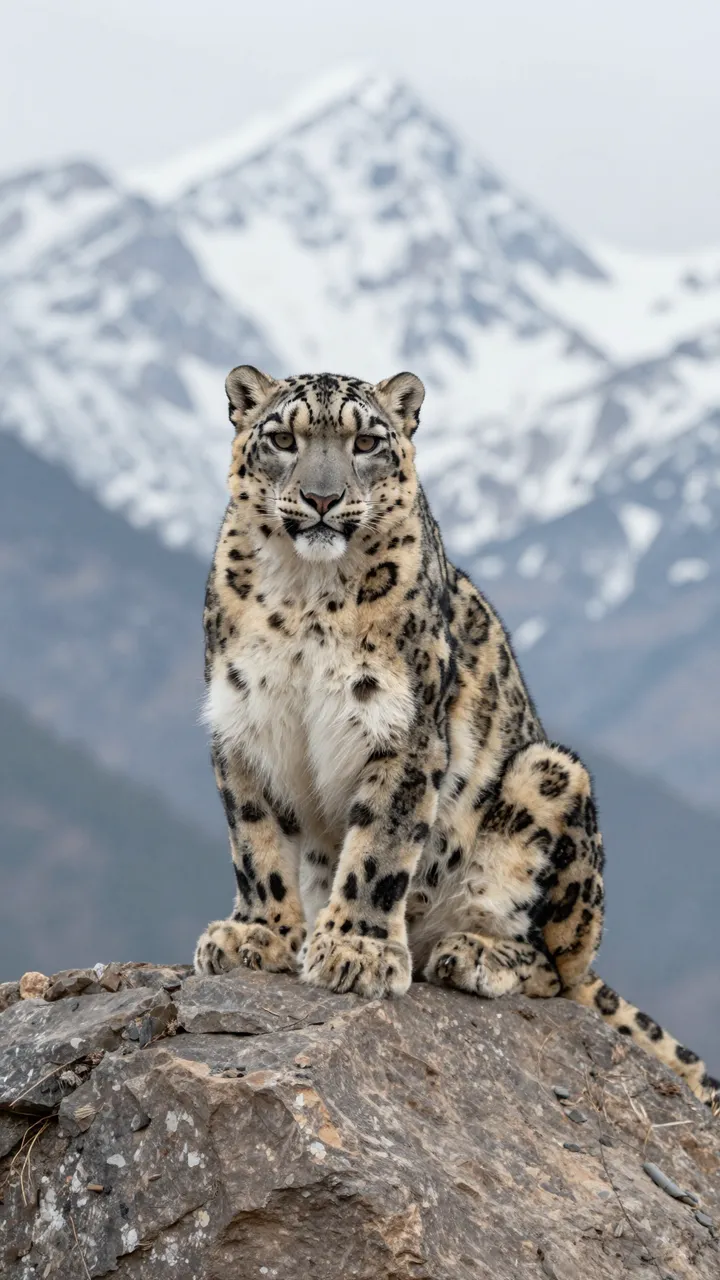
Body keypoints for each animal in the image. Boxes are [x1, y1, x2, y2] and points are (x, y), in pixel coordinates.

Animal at [194, 364, 718, 1111]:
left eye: (365, 442)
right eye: (283, 438)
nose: (324, 498)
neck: (305, 591)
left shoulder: (404, 730)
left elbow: (381, 845)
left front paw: (355, 950)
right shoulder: (244, 725)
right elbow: (256, 843)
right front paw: (258, 937)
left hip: (550, 779)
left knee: (558, 970)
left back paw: (469, 953)